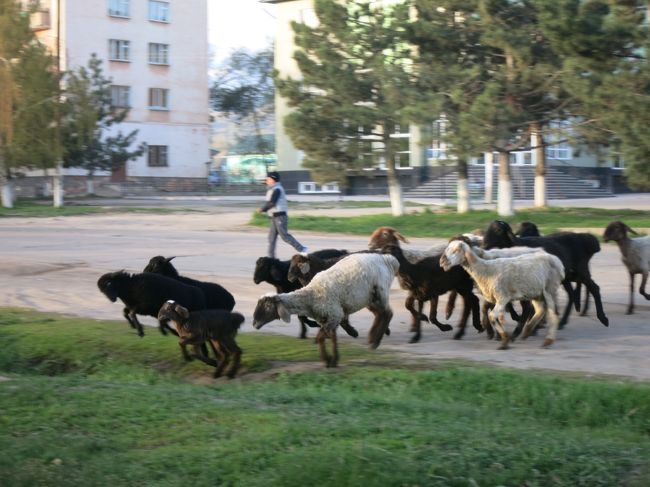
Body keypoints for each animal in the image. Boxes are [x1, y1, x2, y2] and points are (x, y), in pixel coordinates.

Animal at [251, 254, 398, 368]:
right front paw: (334, 360)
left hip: (380, 291)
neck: (311, 296)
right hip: (370, 298)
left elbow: (322, 338)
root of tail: (387, 259)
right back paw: (372, 337)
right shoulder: (328, 318)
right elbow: (333, 339)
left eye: (267, 306)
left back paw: (375, 341)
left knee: (388, 313)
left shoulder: (334, 315)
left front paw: (327, 360)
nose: (254, 323)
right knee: (380, 314)